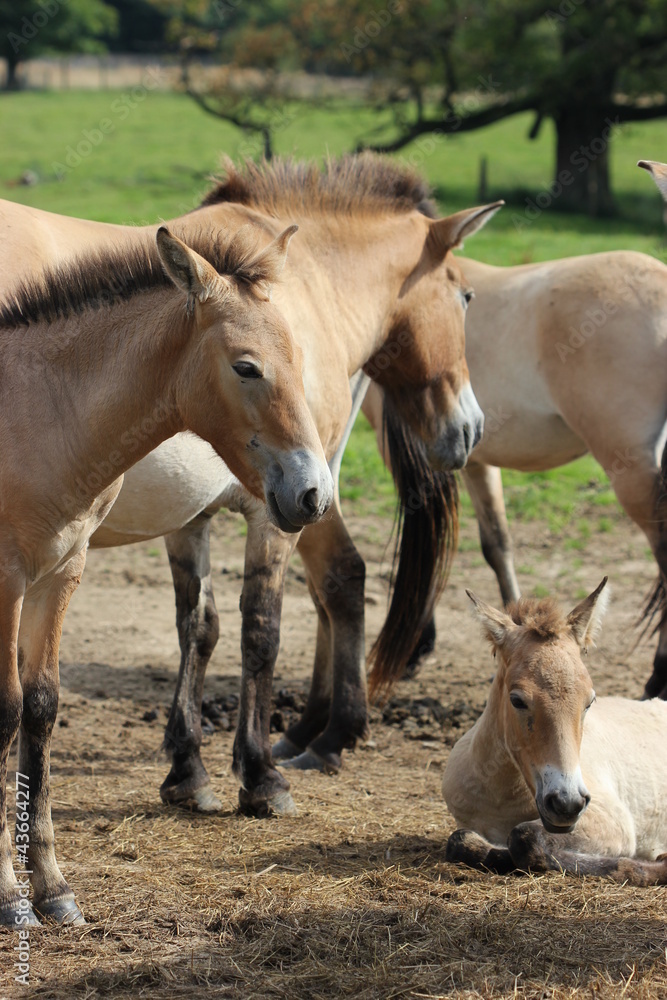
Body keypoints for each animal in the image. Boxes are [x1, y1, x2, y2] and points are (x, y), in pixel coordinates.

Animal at [0, 223, 334, 924]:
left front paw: (53, 889)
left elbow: (41, 709)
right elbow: (7, 710)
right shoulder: (7, 579)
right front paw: (9, 897)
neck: (34, 412)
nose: (314, 495)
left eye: (299, 355)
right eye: (245, 366)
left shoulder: (60, 573)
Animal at [1, 156, 500, 836]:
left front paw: (189, 769)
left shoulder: (196, 515)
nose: (469, 430)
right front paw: (278, 764)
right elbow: (276, 619)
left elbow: (200, 627)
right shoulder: (280, 504)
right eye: (465, 295)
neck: (316, 280)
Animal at [444, 584, 667, 888]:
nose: (566, 803)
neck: (503, 797)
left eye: (589, 701)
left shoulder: (613, 826)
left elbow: (523, 837)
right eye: (517, 700)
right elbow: (460, 842)